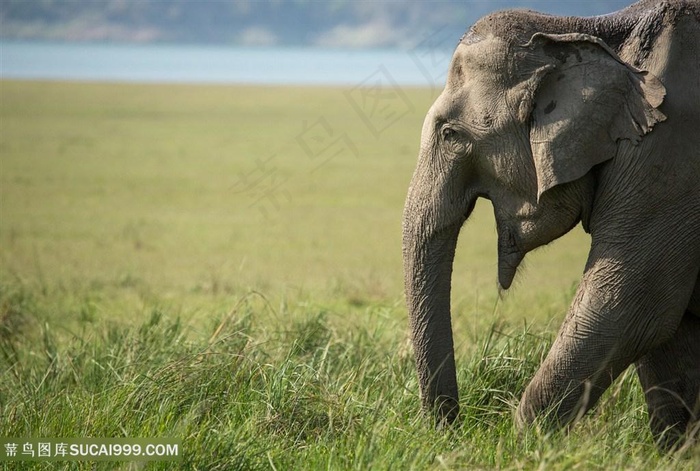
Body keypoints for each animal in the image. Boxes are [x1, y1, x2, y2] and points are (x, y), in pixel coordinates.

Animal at [402, 0, 696, 450]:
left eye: (451, 133)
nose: (450, 434)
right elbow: (670, 326)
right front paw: (675, 452)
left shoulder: (669, 158)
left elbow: (633, 303)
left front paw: (521, 447)